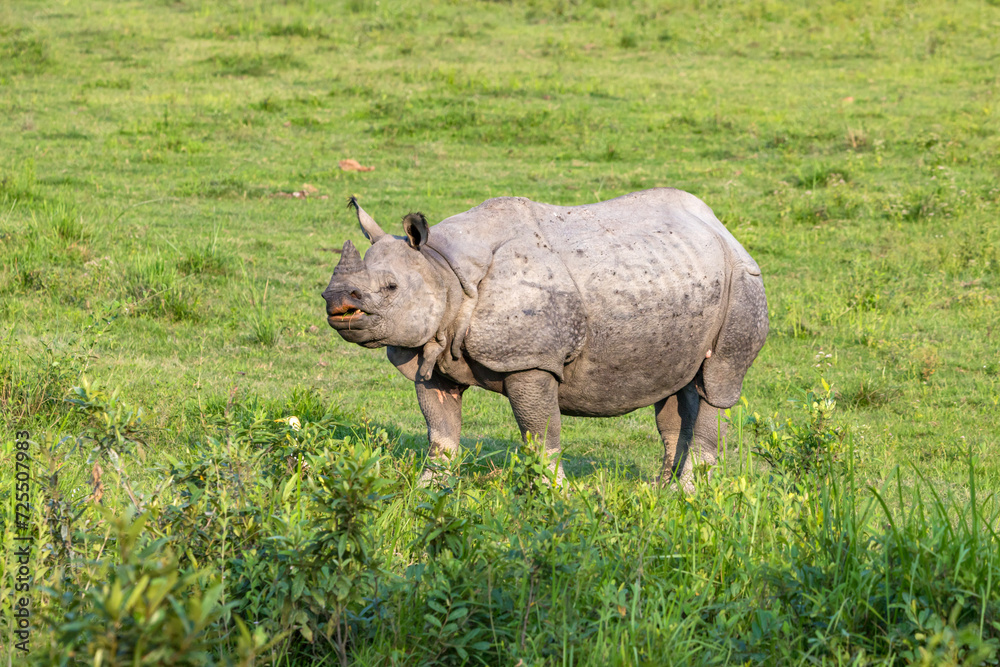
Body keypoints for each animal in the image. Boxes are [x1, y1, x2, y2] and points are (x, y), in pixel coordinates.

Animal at [322, 188, 768, 487]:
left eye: (391, 288)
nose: (336, 301)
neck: (442, 268)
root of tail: (722, 228)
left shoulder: (530, 360)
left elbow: (539, 433)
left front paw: (555, 496)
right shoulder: (432, 350)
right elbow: (440, 433)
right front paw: (429, 493)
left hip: (743, 281)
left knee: (716, 382)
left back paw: (690, 492)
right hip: (678, 274)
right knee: (674, 388)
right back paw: (661, 491)